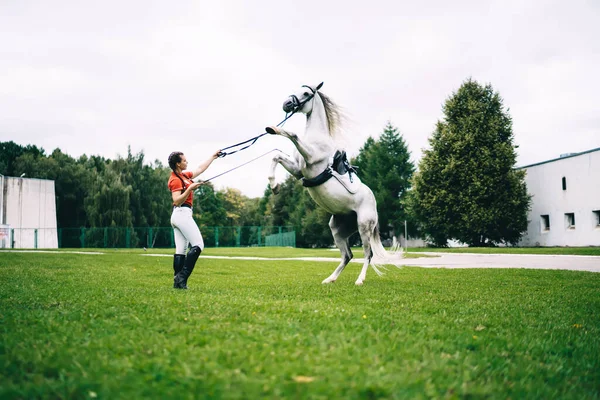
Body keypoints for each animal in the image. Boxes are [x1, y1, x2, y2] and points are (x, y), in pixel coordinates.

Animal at [268, 83, 404, 286]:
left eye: (306, 93)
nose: (286, 104)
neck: (316, 136)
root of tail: (373, 203)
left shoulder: (310, 158)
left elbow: (293, 134)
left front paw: (273, 129)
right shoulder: (298, 170)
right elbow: (276, 156)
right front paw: (274, 185)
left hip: (364, 227)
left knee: (368, 254)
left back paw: (359, 280)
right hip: (338, 230)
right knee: (347, 255)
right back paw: (330, 279)